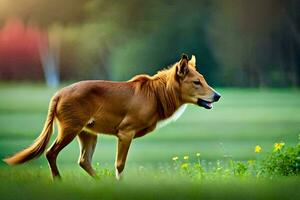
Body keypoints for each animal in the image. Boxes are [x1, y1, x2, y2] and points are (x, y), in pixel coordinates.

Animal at [3, 54, 221, 180]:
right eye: (196, 82)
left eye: (203, 80)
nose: (217, 96)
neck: (156, 95)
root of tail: (57, 95)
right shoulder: (125, 132)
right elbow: (119, 165)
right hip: (70, 129)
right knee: (51, 153)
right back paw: (58, 180)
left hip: (87, 133)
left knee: (83, 160)